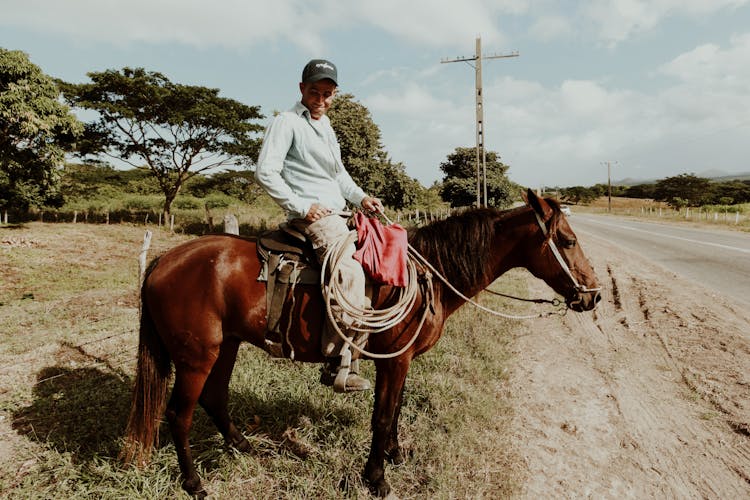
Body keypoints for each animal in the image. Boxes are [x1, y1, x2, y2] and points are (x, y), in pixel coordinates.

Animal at [123, 190, 604, 496]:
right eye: (567, 240)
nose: (594, 295)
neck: (429, 277)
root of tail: (165, 259)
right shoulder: (394, 360)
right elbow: (383, 414)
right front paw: (376, 478)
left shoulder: (400, 360)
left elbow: (395, 411)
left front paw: (395, 455)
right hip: (196, 356)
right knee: (178, 414)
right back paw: (194, 484)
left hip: (227, 346)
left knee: (215, 398)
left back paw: (244, 446)